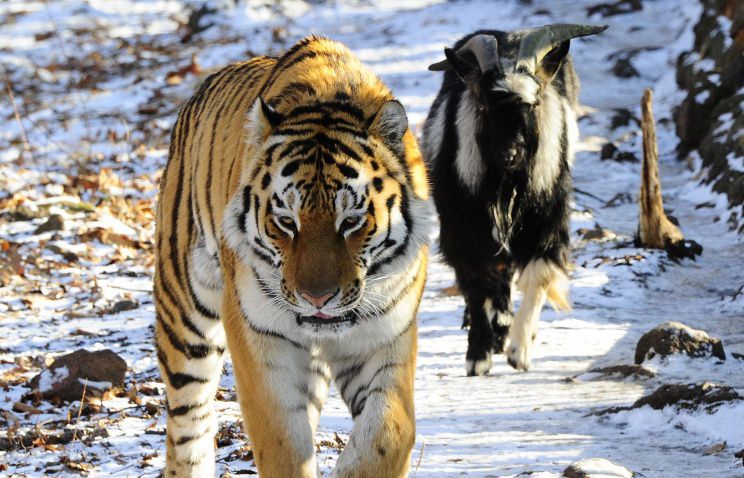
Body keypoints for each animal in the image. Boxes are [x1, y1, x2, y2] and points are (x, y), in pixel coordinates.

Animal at [154, 35, 431, 477]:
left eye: (351, 221)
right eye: (286, 221)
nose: (317, 298)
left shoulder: (385, 336)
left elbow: (389, 433)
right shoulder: (258, 333)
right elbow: (281, 438)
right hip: (184, 315)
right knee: (188, 422)